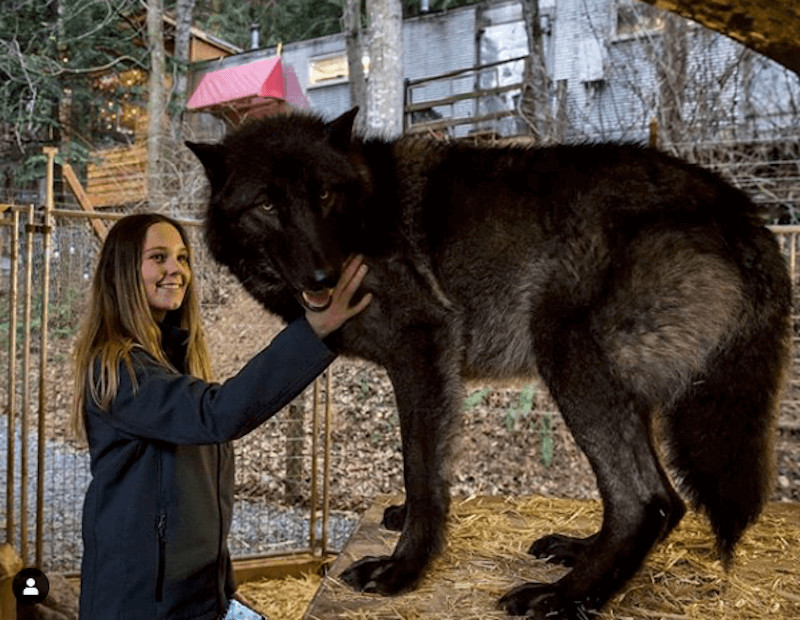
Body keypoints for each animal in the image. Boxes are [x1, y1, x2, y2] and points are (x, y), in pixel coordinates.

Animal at [187, 108, 791, 619]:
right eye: (267, 205)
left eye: (324, 194)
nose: (325, 278)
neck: (367, 208)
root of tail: (742, 211)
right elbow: (429, 469)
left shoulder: (424, 347)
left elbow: (421, 469)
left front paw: (404, 569)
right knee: (661, 499)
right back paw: (579, 553)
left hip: (567, 358)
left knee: (646, 501)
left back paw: (563, 597)